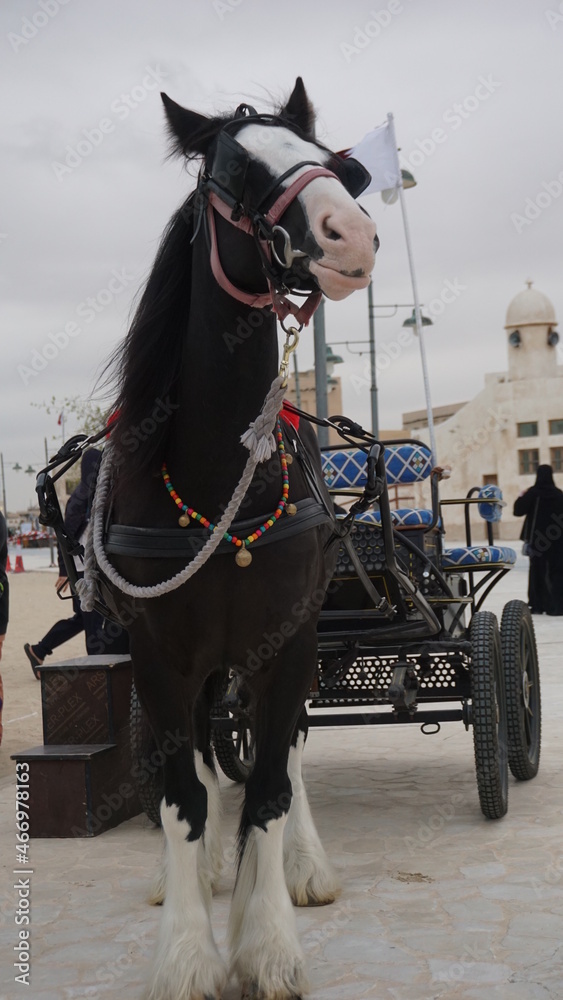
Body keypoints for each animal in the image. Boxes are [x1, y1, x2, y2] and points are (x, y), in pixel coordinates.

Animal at [102, 78, 378, 1000]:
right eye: (232, 175)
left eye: (332, 163)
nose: (351, 233)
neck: (221, 476)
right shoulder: (158, 653)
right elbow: (184, 793)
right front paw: (189, 951)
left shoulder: (286, 641)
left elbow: (267, 787)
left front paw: (265, 944)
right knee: (204, 758)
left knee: (278, 757)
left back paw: (294, 868)